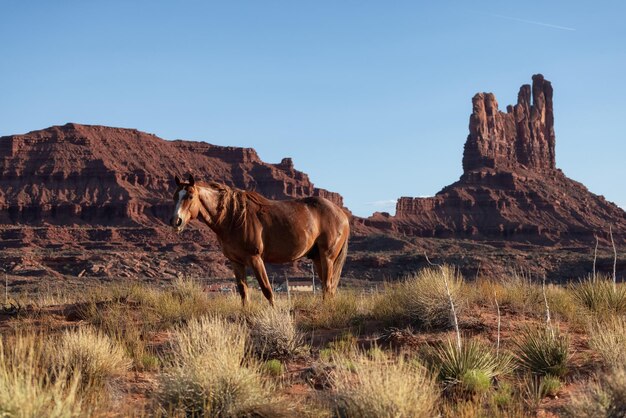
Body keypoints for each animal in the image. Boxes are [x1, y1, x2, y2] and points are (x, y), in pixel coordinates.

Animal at [168, 175, 348, 306]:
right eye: (175, 196)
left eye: (190, 196)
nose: (176, 221)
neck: (233, 217)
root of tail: (341, 214)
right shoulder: (236, 262)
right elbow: (243, 292)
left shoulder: (255, 259)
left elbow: (267, 290)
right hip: (317, 258)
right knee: (327, 287)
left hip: (327, 257)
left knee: (328, 286)